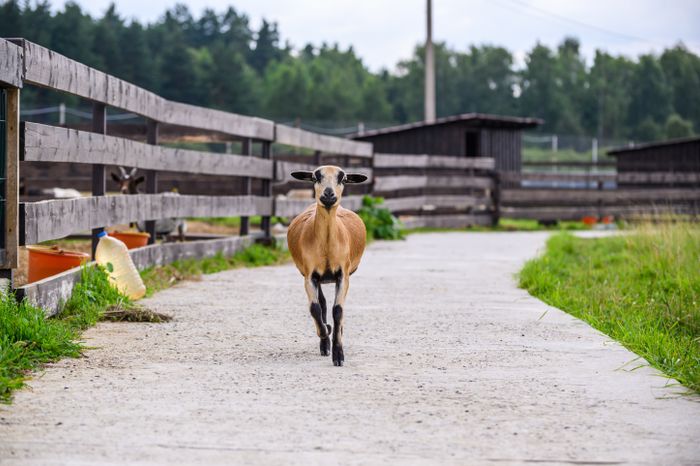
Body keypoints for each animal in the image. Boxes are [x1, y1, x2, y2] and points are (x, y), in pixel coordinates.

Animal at [287, 165, 368, 366]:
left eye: (343, 179)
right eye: (316, 177)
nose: (329, 194)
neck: (327, 246)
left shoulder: (343, 275)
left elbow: (338, 310)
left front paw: (338, 354)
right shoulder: (310, 276)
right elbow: (315, 309)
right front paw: (325, 333)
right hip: (319, 278)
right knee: (322, 304)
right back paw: (325, 342)